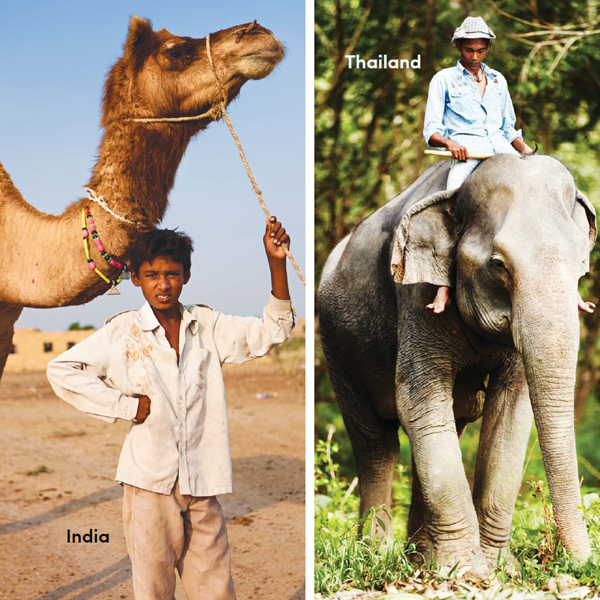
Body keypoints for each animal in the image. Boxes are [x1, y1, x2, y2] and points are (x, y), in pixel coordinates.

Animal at [318, 155, 596, 576]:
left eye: (582, 265)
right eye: (499, 265)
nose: (578, 565)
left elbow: (510, 413)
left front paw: (498, 568)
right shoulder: (417, 296)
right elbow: (418, 398)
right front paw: (468, 572)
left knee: (441, 427)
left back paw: (419, 559)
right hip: (338, 349)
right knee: (376, 443)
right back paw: (378, 555)